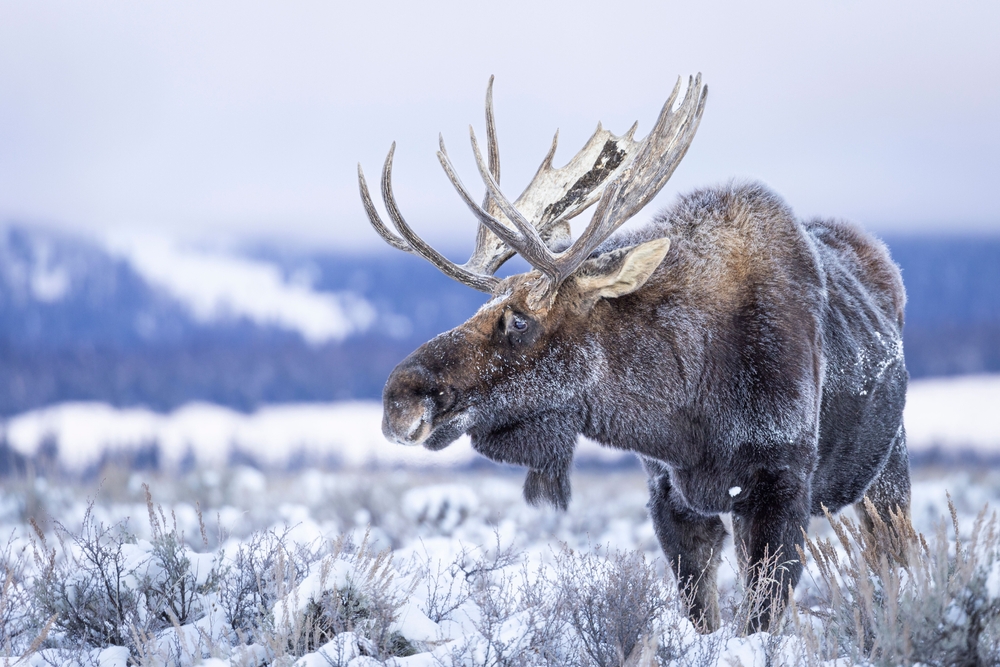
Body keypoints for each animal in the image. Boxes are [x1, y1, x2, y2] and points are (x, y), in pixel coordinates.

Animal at [358, 75, 911, 633]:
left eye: (519, 320)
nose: (398, 399)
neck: (687, 411)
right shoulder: (668, 494)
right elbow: (702, 613)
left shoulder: (780, 484)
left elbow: (761, 616)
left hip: (888, 470)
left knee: (894, 556)